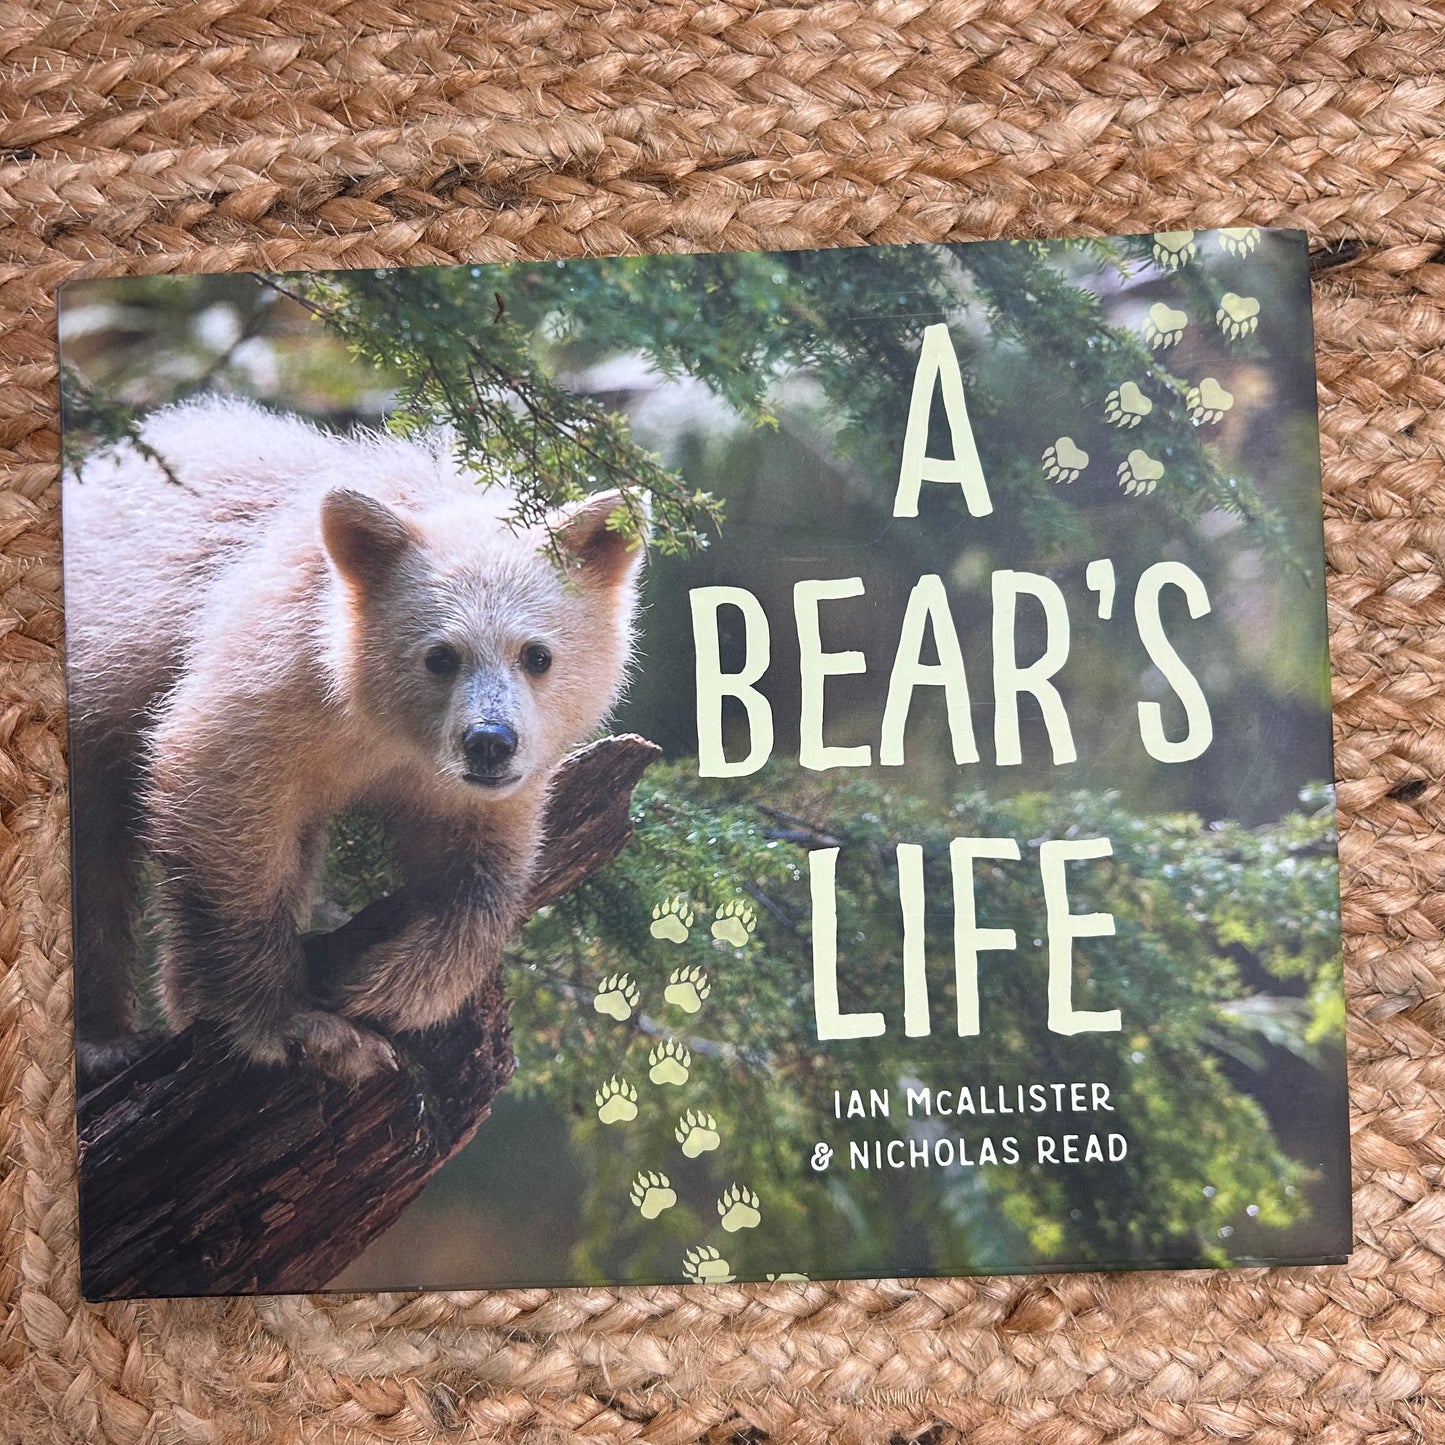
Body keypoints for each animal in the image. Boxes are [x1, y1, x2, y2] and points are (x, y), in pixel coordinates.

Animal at [64, 396, 646, 1083]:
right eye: (440, 656)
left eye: (537, 655)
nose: (489, 742)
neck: (381, 729)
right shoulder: (276, 672)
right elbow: (215, 789)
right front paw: (298, 1023)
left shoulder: (473, 786)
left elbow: (480, 870)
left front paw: (385, 986)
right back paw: (105, 1037)